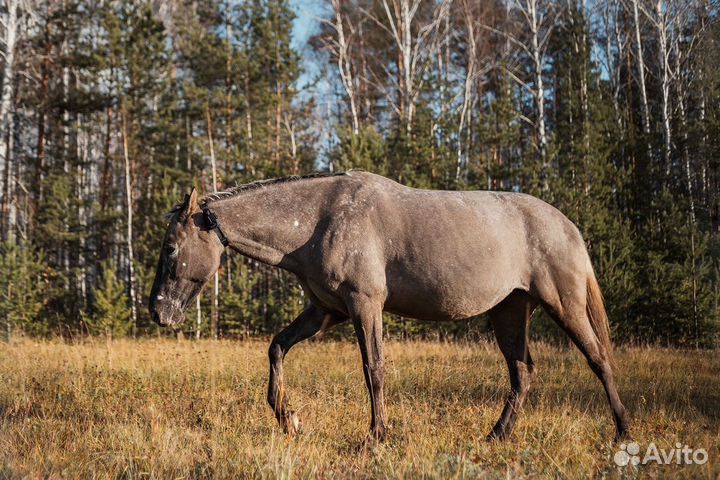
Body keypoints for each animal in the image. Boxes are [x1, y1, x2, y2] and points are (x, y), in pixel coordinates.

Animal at [150, 172, 632, 442]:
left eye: (171, 248)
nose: (158, 311)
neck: (318, 219)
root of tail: (568, 226)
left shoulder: (365, 305)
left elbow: (374, 370)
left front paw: (377, 435)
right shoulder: (327, 310)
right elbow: (277, 348)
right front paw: (288, 418)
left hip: (563, 303)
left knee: (599, 359)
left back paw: (623, 431)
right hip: (510, 311)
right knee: (522, 373)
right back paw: (496, 437)